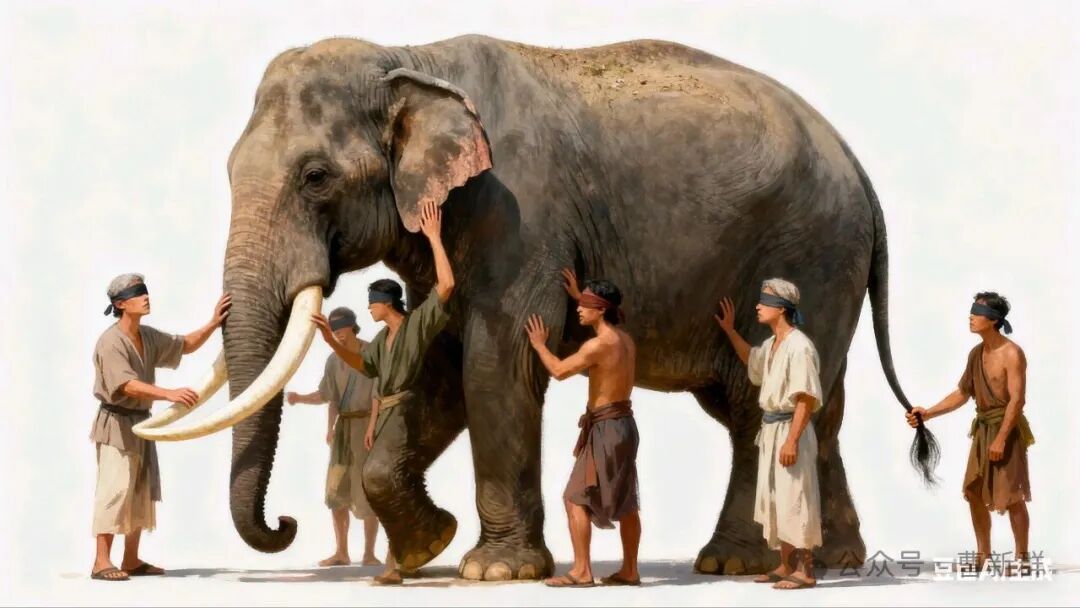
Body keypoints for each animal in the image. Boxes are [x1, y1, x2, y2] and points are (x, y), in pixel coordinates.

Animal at [147, 34, 918, 580]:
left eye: (315, 177)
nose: (285, 526)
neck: (410, 58)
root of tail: (861, 167)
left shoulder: (518, 213)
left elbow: (496, 366)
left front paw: (494, 571)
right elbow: (438, 370)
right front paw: (429, 547)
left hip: (810, 251)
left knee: (760, 402)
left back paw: (733, 562)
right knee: (814, 405)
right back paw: (834, 560)